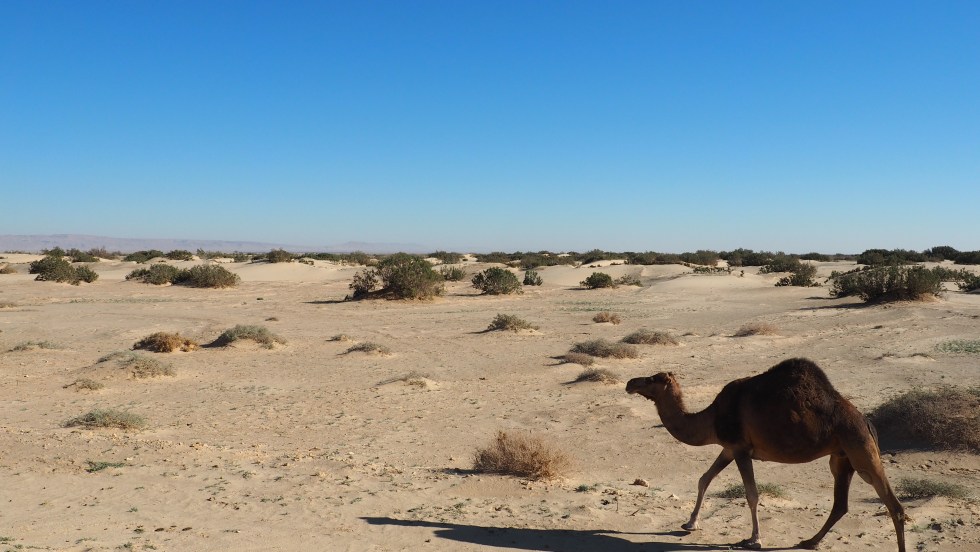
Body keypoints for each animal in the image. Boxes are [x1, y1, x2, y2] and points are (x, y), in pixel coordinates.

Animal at [625, 357, 906, 551]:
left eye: (652, 379)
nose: (630, 382)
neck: (711, 417)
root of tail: (866, 421)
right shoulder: (729, 448)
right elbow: (704, 479)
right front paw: (690, 523)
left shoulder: (740, 449)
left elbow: (751, 494)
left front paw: (754, 539)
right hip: (841, 457)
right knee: (840, 504)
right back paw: (809, 541)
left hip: (860, 447)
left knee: (893, 505)